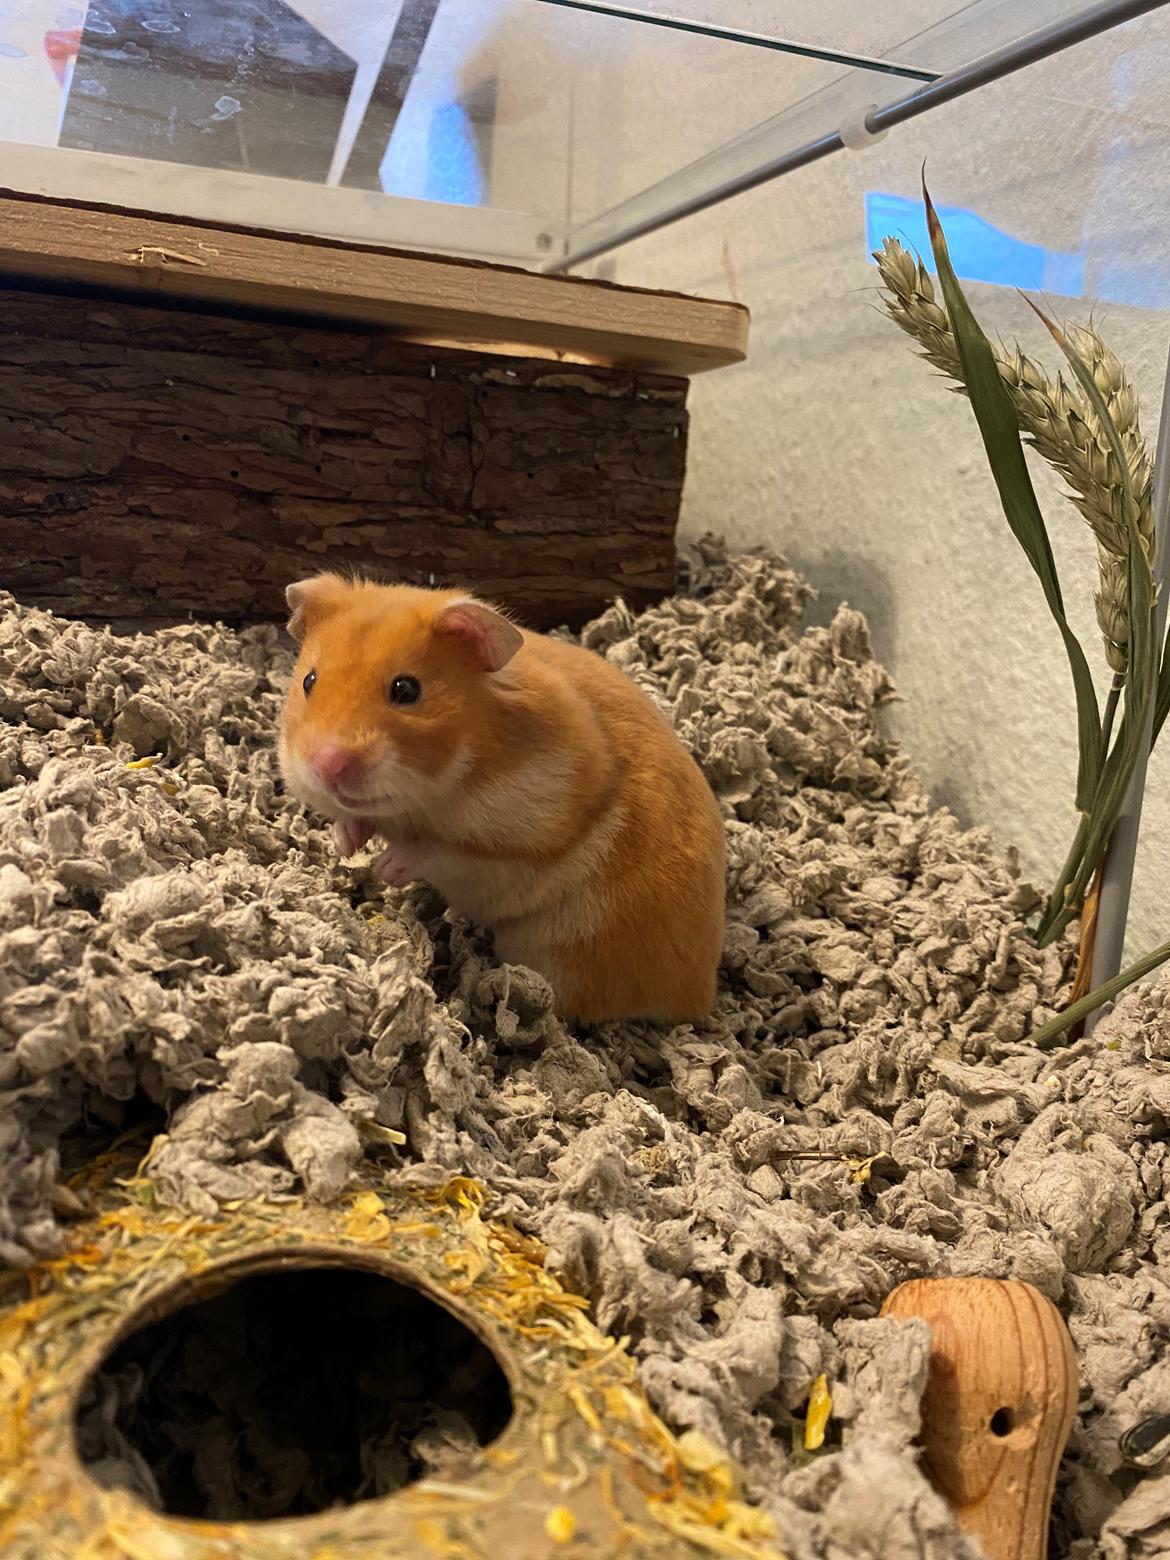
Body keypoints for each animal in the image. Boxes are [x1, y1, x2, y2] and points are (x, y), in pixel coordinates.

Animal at [278, 574, 726, 1025]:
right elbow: (355, 820)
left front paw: (386, 868)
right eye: (309, 681)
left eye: (406, 689)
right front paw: (344, 845)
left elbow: (439, 851)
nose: (328, 765)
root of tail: (702, 996)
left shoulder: (515, 851)